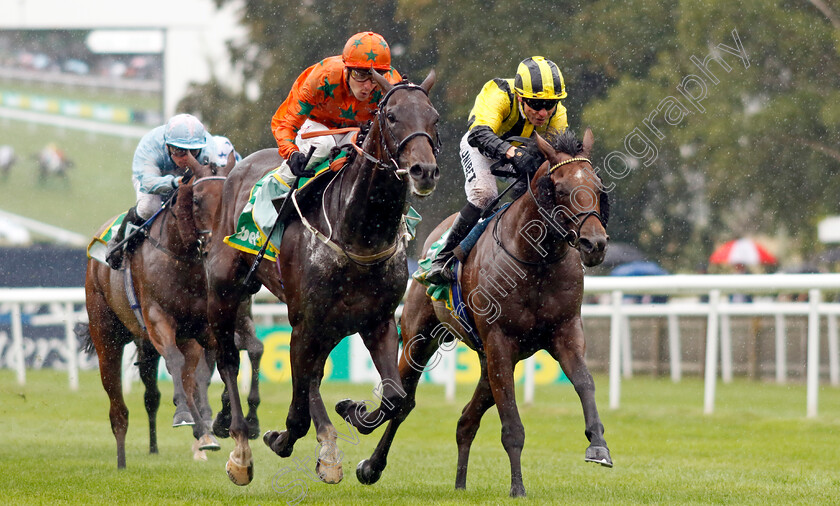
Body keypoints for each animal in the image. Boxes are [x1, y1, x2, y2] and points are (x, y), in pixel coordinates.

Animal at [207, 71, 440, 486]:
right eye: (392, 116)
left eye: (435, 118)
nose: (423, 171)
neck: (359, 233)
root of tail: (238, 167)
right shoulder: (304, 322)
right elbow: (298, 410)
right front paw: (279, 439)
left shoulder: (378, 321)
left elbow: (394, 398)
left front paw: (351, 411)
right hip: (226, 290)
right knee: (229, 360)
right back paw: (240, 448)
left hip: (330, 326)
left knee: (312, 376)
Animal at [344, 128, 612, 496]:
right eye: (560, 189)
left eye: (597, 188)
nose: (594, 244)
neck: (536, 260)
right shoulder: (500, 340)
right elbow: (512, 425)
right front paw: (517, 488)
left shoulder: (565, 332)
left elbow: (585, 382)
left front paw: (598, 444)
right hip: (421, 336)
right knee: (402, 401)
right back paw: (371, 464)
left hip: (488, 360)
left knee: (465, 420)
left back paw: (459, 483)